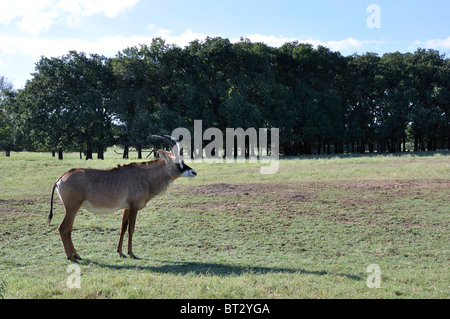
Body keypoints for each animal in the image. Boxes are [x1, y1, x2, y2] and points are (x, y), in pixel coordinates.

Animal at [45, 136, 197, 262]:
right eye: (178, 162)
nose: (193, 172)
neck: (144, 177)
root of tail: (60, 179)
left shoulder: (127, 208)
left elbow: (123, 228)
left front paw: (120, 252)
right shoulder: (134, 206)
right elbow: (131, 229)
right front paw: (131, 253)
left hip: (73, 209)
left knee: (68, 229)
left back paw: (77, 255)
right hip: (72, 208)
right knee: (63, 228)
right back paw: (70, 257)